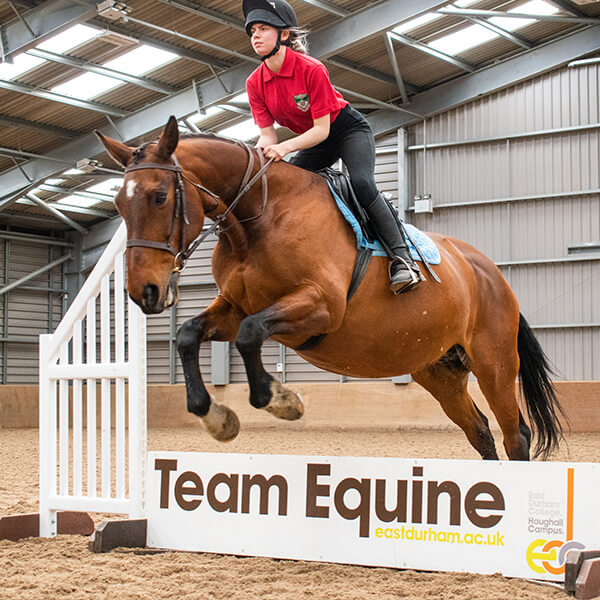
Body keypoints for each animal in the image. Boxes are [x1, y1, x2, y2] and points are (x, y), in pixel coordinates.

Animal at [96, 118, 564, 464]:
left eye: (159, 196)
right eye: (118, 205)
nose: (144, 292)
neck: (258, 217)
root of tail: (490, 271)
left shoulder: (321, 306)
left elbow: (250, 334)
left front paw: (280, 400)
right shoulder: (232, 308)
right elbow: (189, 334)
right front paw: (216, 417)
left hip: (494, 364)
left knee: (516, 436)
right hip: (440, 371)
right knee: (481, 432)